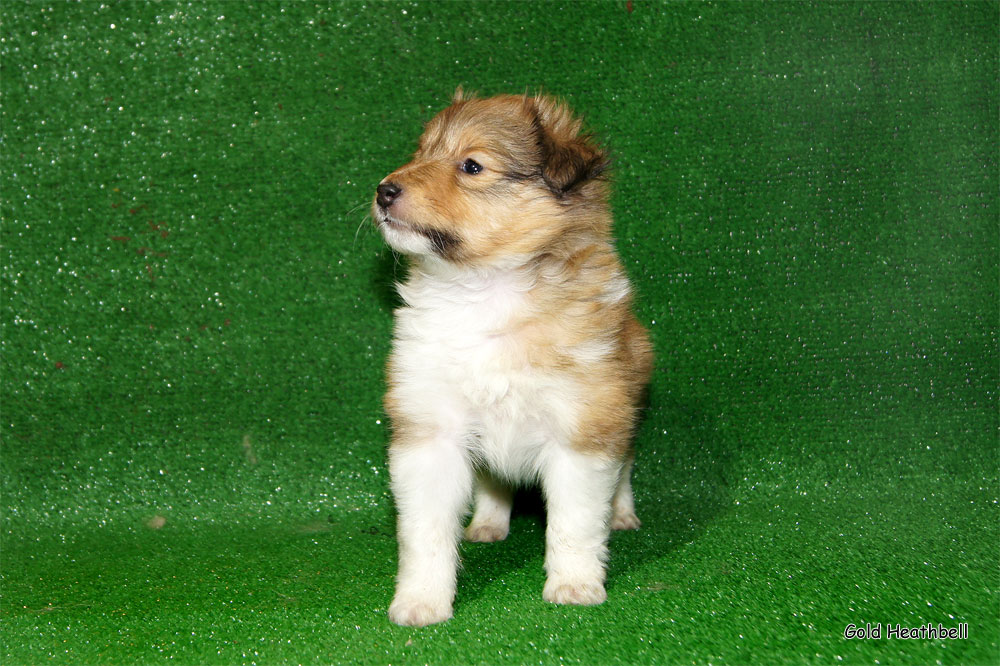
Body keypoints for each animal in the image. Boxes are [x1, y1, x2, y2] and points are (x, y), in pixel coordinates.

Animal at [372, 88, 652, 624]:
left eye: (472, 166)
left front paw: (575, 586)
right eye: (421, 153)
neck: (484, 291)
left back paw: (623, 515)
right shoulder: (430, 431)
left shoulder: (581, 429)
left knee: (624, 467)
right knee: (492, 482)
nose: (383, 191)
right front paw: (420, 602)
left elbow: (574, 522)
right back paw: (487, 524)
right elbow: (424, 532)